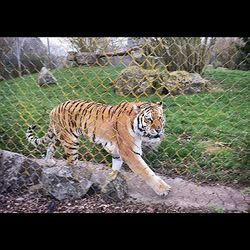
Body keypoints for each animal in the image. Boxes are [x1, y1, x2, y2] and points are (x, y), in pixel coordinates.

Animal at [26, 99, 171, 195]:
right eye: (149, 119)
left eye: (160, 118)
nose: (159, 130)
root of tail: (54, 108)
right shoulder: (130, 152)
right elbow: (146, 171)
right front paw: (162, 189)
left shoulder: (118, 151)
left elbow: (116, 165)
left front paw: (111, 178)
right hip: (70, 141)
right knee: (71, 162)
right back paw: (78, 180)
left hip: (57, 137)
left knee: (50, 147)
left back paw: (49, 161)